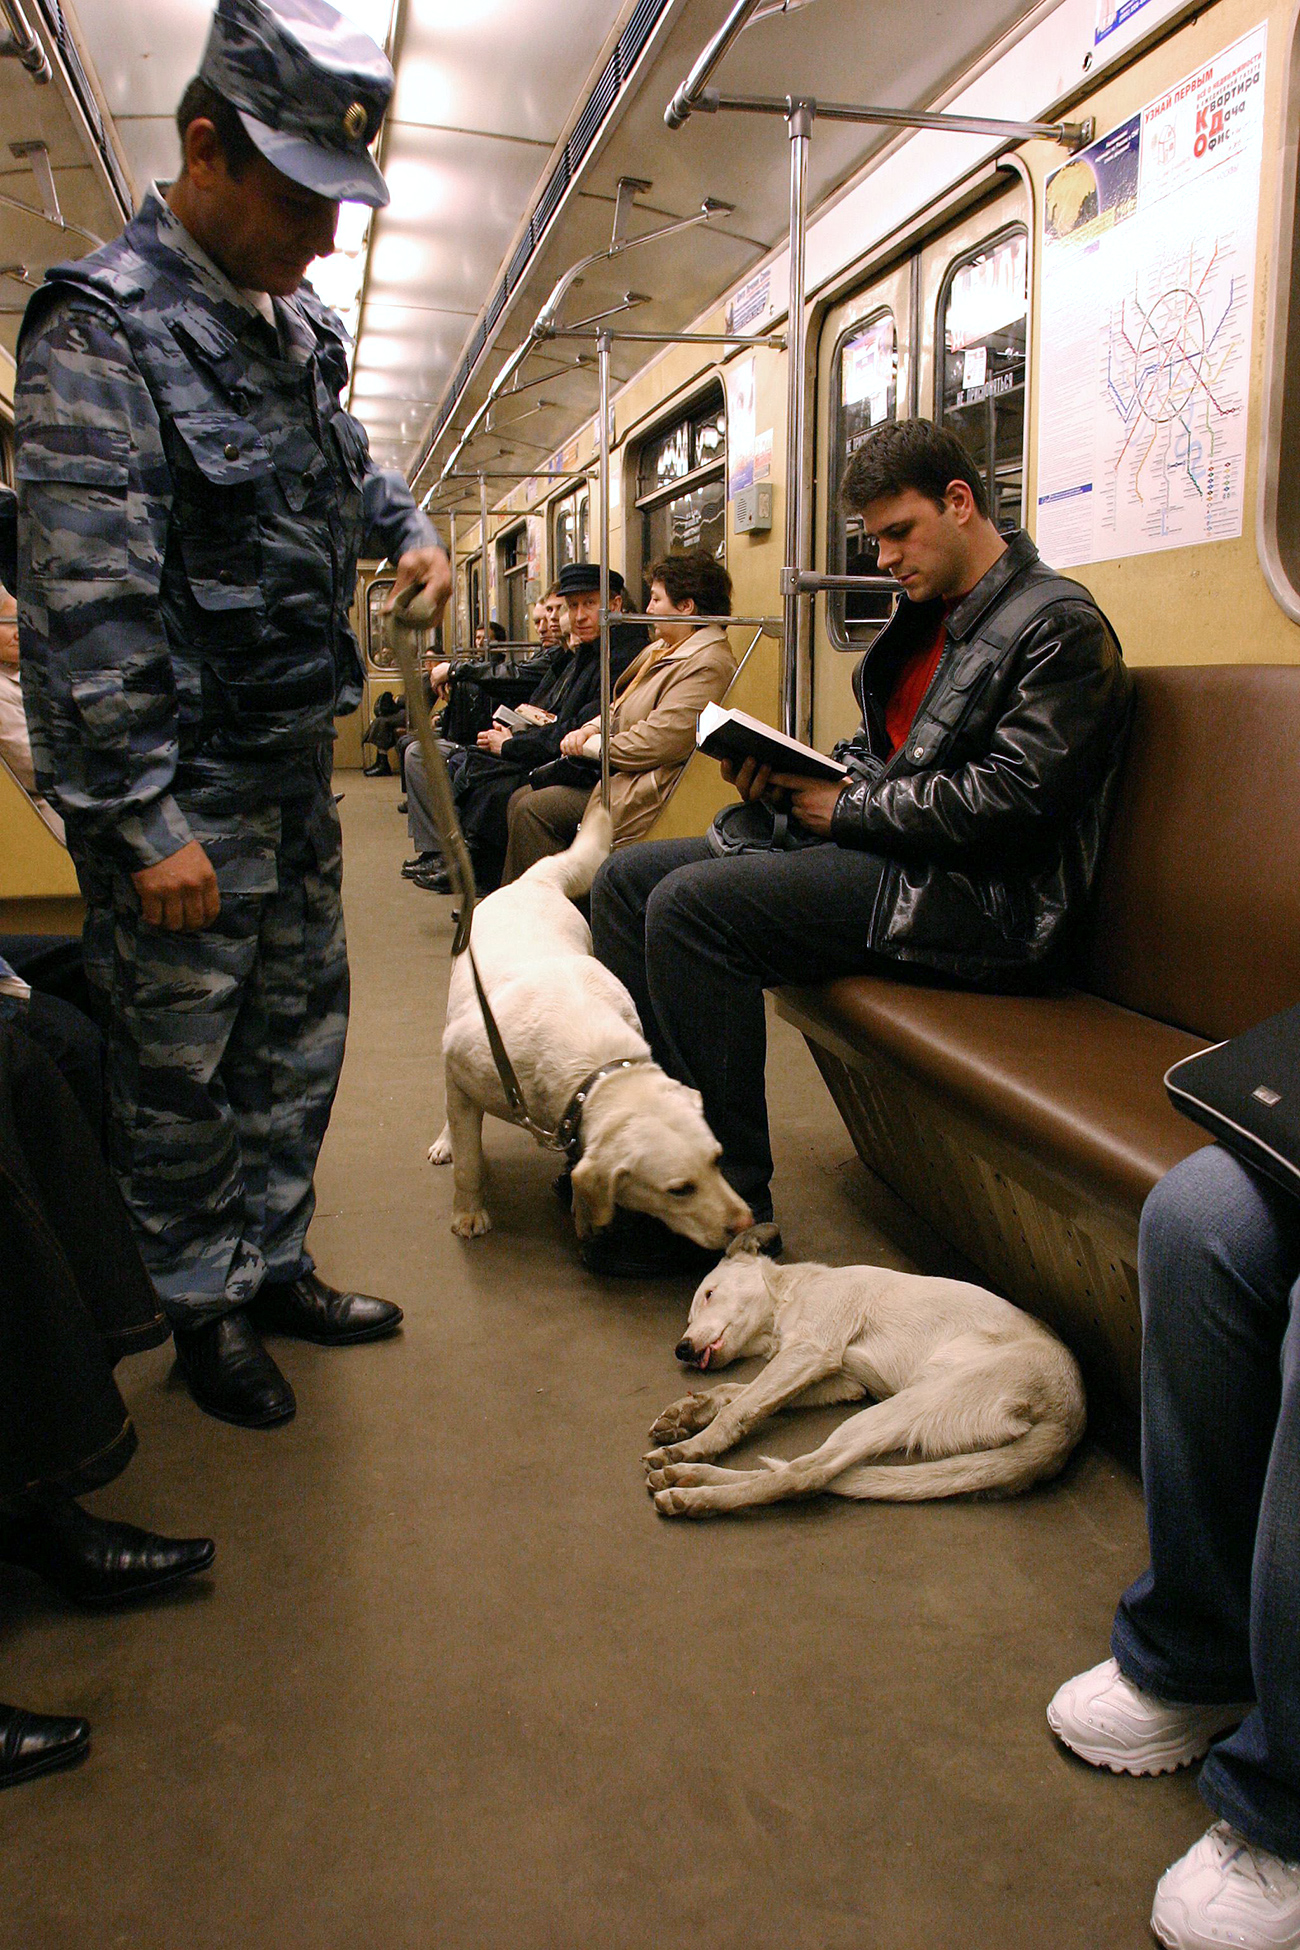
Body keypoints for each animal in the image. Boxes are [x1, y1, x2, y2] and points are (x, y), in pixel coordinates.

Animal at [426, 811, 752, 1248]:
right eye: (680, 1190)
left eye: (718, 1160)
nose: (746, 1224)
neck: (592, 1066)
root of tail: (533, 881)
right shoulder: (462, 1068)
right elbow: (469, 1164)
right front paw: (468, 1211)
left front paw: (583, 1214)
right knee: (454, 1116)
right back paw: (447, 1142)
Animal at [643, 1240, 1091, 1513]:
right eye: (689, 1317)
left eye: (709, 1294)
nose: (682, 1349)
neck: (793, 1292)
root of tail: (1068, 1423)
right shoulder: (842, 1382)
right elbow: (738, 1391)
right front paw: (688, 1412)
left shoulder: (810, 1350)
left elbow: (740, 1407)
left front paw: (699, 1441)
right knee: (809, 1470)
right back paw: (690, 1478)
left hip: (908, 1404)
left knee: (805, 1474)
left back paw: (696, 1489)